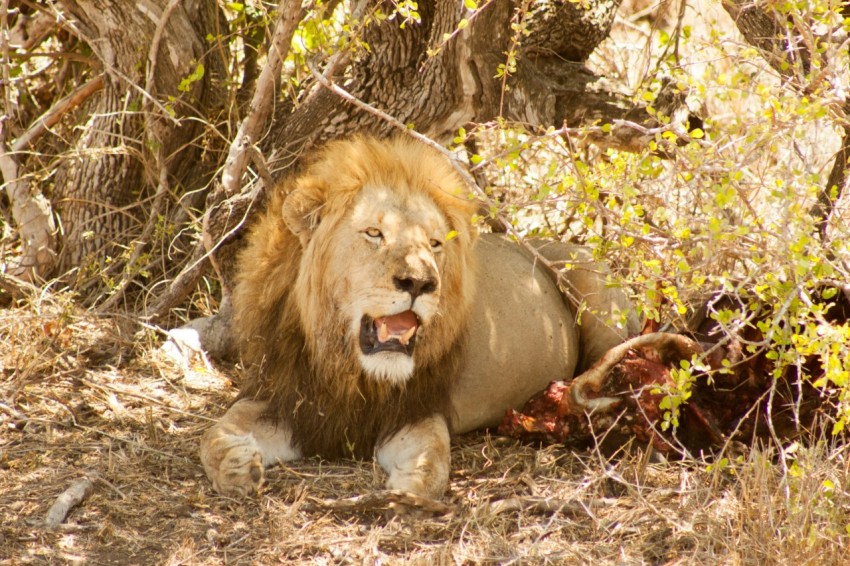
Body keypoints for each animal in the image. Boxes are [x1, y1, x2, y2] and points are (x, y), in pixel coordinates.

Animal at [200, 138, 636, 502]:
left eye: (434, 243)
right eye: (374, 233)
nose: (420, 282)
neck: (347, 368)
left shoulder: (414, 411)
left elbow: (433, 457)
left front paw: (408, 491)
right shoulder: (285, 400)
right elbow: (215, 432)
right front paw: (237, 467)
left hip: (592, 285)